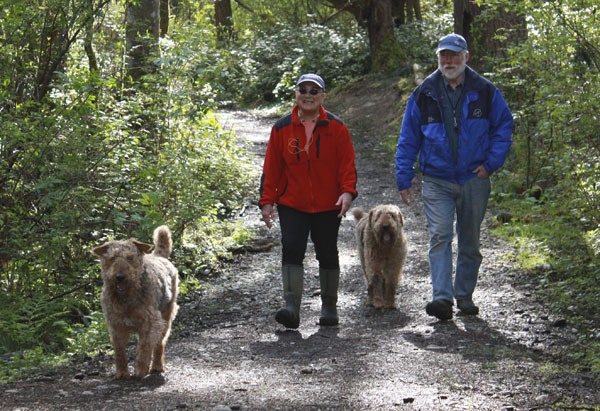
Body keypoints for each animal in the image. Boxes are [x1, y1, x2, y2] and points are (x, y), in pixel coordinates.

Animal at [90, 225, 177, 380]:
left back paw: (157, 366)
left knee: (160, 344)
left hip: (166, 317)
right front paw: (122, 373)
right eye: (112, 258)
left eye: (130, 257)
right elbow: (119, 351)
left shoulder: (149, 322)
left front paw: (141, 369)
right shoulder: (116, 325)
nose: (120, 277)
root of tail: (159, 256)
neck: (126, 298)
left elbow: (144, 347)